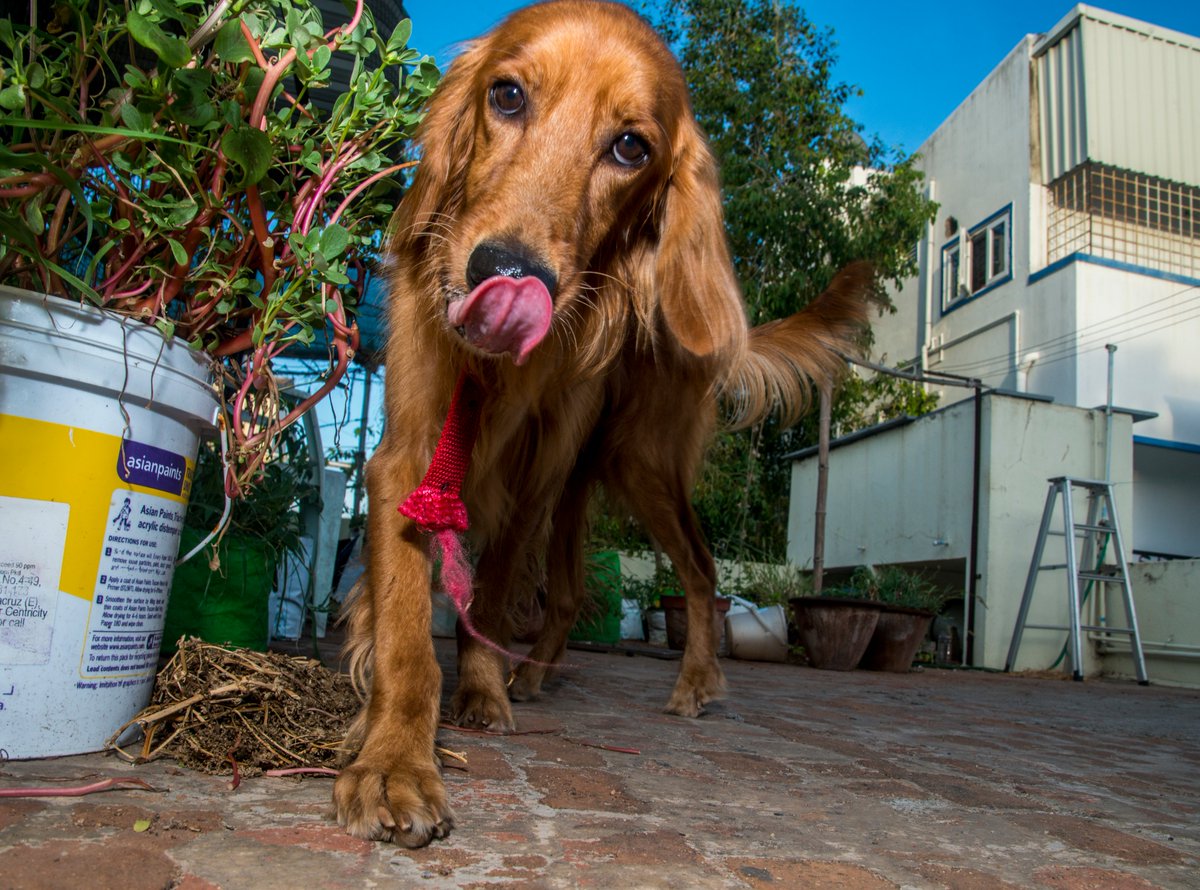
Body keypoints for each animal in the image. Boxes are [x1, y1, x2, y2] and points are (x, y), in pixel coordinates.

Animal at [336, 1, 873, 849]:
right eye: (508, 95)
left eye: (630, 147)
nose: (504, 272)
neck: (492, 376)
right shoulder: (410, 456)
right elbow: (403, 629)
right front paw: (393, 756)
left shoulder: (530, 483)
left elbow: (490, 595)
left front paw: (478, 695)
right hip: (579, 486)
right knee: (566, 594)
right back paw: (535, 672)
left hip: (634, 465)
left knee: (700, 570)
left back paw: (695, 684)